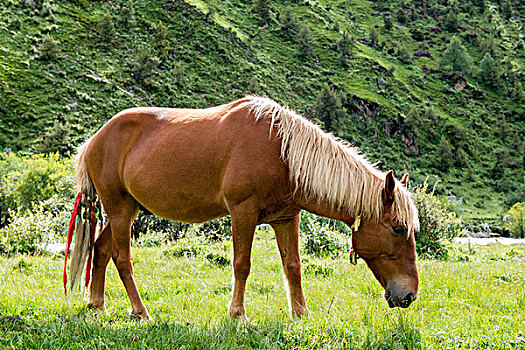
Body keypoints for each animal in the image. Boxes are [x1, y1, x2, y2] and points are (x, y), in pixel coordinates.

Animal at [65, 95, 420, 320]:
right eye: (398, 228)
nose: (409, 296)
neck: (282, 153)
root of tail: (93, 141)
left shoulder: (286, 219)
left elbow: (293, 267)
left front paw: (301, 314)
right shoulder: (243, 213)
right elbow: (242, 264)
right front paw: (237, 314)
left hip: (126, 210)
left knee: (100, 250)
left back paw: (96, 305)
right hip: (120, 210)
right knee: (122, 259)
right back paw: (140, 312)